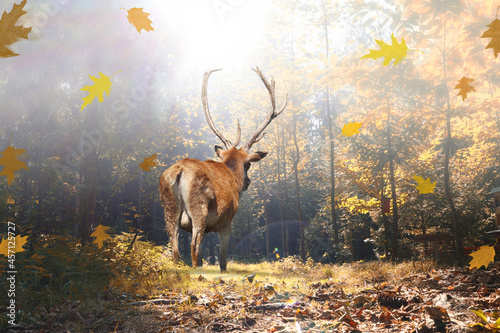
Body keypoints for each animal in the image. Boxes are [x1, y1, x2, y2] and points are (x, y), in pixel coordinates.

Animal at [158, 67, 288, 270]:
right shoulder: (227, 219)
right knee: (194, 245)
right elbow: (223, 257)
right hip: (199, 207)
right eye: (249, 164)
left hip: (169, 207)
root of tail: (179, 171)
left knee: (174, 246)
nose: (247, 182)